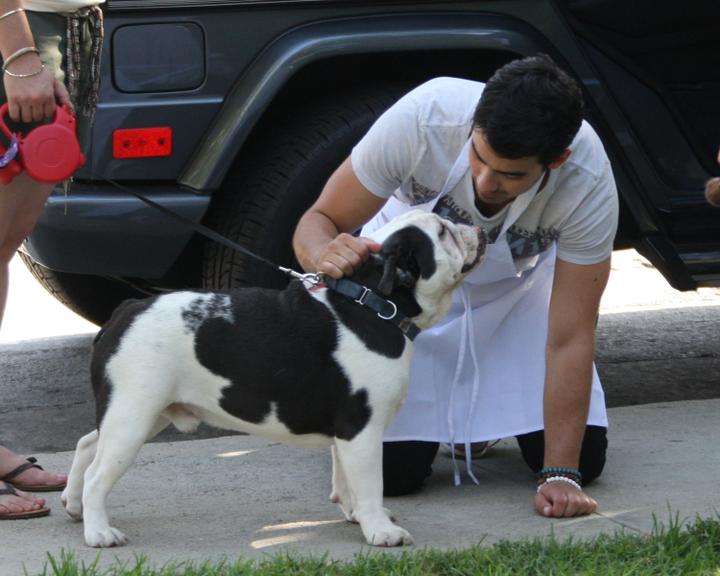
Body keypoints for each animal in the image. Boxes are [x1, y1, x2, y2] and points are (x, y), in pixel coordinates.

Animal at [62, 212, 486, 548]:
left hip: (142, 412)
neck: (375, 301)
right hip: (133, 417)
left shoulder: (346, 436)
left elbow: (345, 479)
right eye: (443, 232)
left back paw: (73, 503)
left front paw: (355, 515)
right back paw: (99, 532)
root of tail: (126, 310)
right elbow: (369, 483)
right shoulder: (361, 431)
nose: (476, 226)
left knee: (87, 444)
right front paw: (380, 530)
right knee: (99, 474)